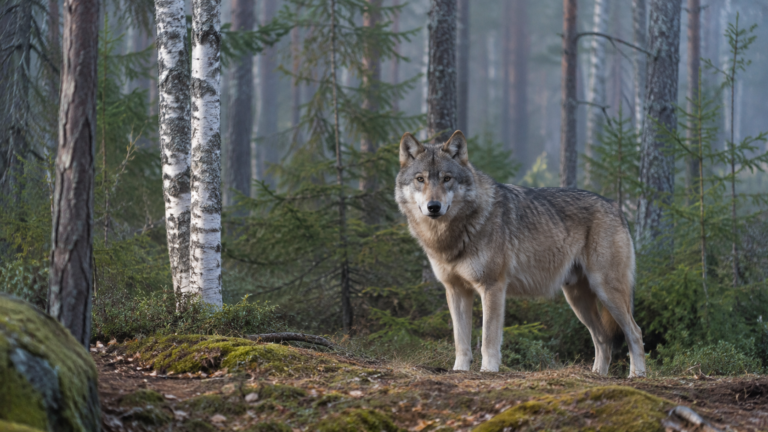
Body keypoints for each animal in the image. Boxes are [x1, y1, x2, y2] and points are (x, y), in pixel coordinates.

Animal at [395, 130, 646, 377]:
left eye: (447, 178)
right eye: (420, 179)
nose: (433, 206)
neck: (451, 235)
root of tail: (616, 206)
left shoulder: (492, 287)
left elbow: (488, 338)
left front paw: (488, 370)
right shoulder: (456, 290)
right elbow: (461, 340)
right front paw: (459, 370)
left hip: (606, 290)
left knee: (635, 332)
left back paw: (637, 375)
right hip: (577, 299)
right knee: (603, 339)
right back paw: (597, 376)